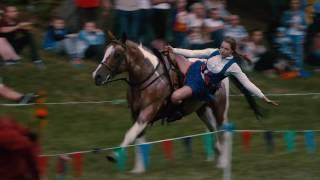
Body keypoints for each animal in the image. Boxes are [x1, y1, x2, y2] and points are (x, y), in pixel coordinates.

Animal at [92, 33, 230, 173]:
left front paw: (114, 155)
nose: (97, 76)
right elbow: (138, 138)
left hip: (219, 108)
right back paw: (219, 159)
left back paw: (224, 163)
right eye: (105, 51)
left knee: (222, 131)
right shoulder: (135, 114)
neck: (148, 77)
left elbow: (130, 134)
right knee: (213, 130)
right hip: (202, 110)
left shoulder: (148, 111)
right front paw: (138, 169)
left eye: (117, 54)